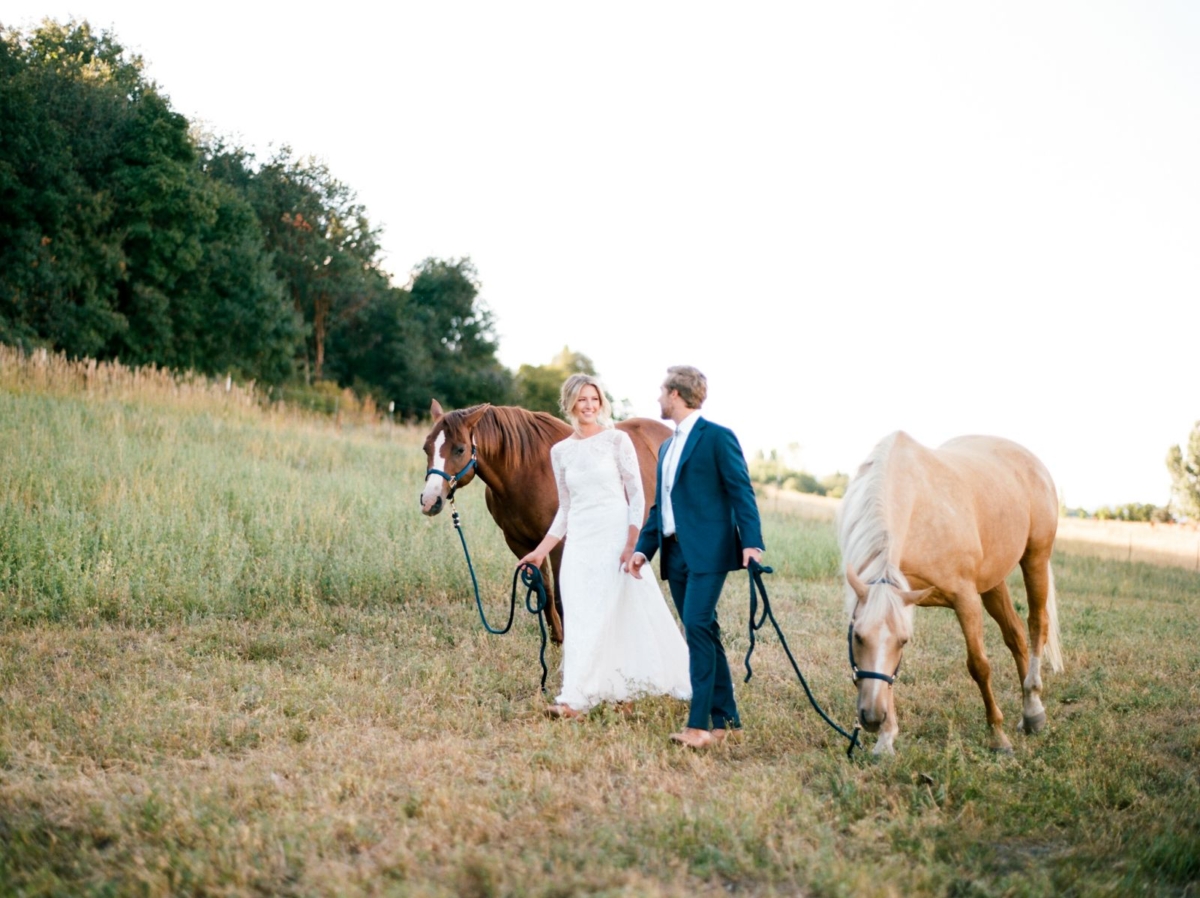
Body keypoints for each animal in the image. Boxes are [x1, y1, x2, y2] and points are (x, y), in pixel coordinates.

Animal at [417, 400, 672, 643]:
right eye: (426, 448)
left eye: (460, 449)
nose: (430, 501)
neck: (525, 472)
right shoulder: (520, 543)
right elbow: (544, 591)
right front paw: (557, 639)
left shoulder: (560, 542)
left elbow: (560, 594)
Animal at [840, 432, 1065, 753]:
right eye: (858, 636)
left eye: (903, 641)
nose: (871, 717)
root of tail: (1031, 461)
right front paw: (886, 739)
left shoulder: (965, 598)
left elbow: (979, 666)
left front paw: (998, 736)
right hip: (993, 582)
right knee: (1015, 635)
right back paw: (1029, 715)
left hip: (1035, 558)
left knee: (1037, 625)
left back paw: (1033, 707)